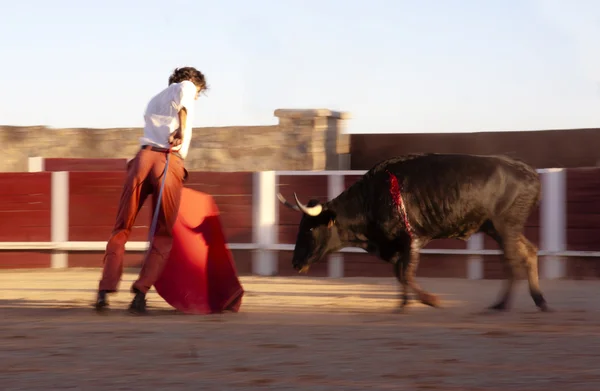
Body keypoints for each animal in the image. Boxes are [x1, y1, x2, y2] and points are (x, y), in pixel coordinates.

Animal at [276, 153, 548, 312]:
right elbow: (400, 274)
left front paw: (430, 300)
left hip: (505, 226)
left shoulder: (412, 239)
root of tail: (531, 173)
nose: (295, 263)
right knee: (529, 253)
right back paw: (539, 301)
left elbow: (405, 274)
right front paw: (404, 304)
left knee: (512, 261)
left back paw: (502, 305)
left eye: (310, 228)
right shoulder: (396, 246)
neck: (372, 198)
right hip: (499, 229)